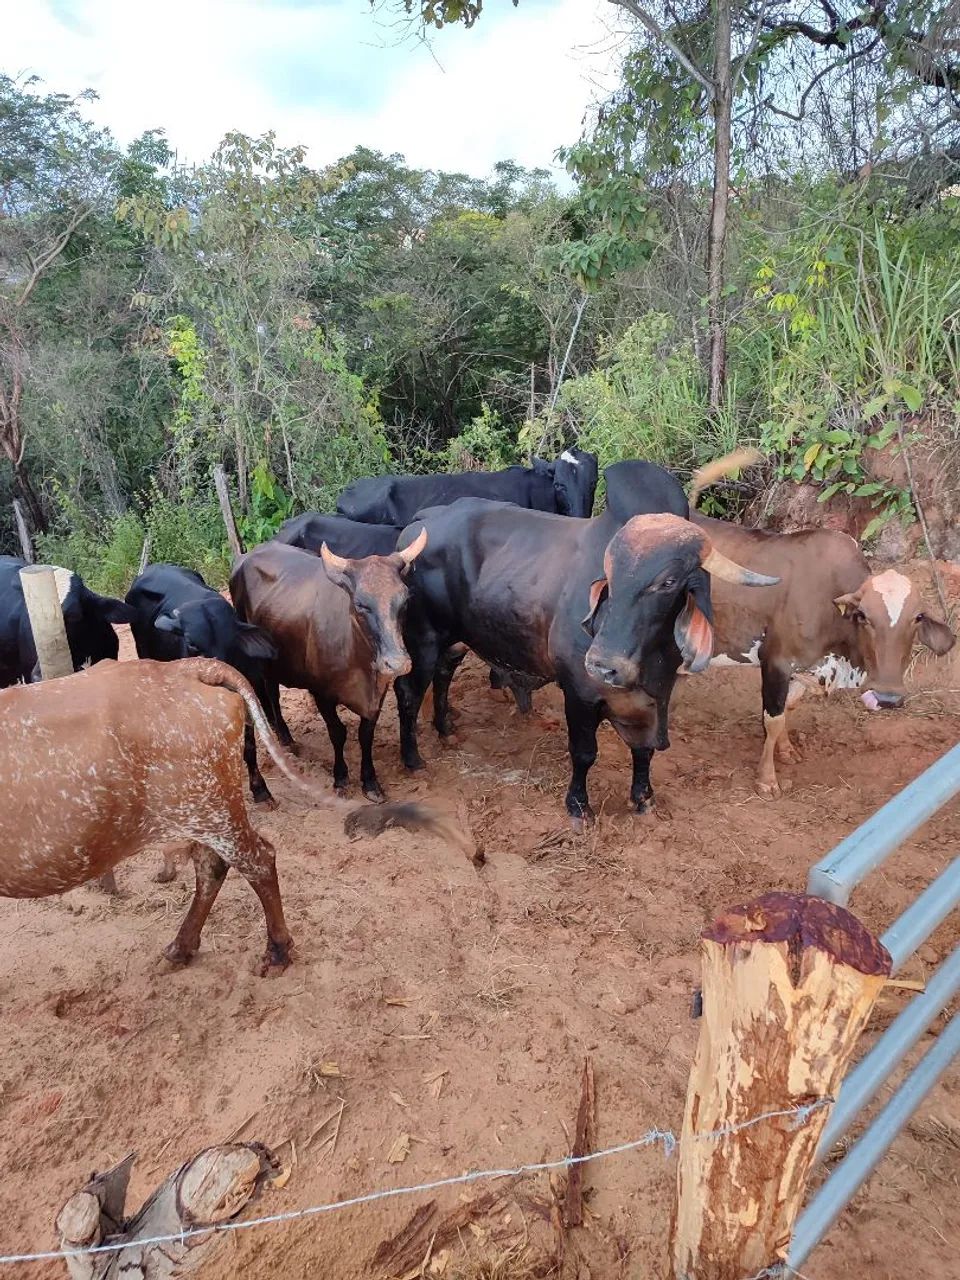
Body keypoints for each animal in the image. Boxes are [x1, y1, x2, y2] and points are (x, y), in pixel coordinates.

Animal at [0, 657, 469, 974]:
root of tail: (184, 668)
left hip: (210, 808)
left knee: (257, 859)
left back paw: (276, 952)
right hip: (203, 807)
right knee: (213, 865)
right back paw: (182, 947)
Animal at [230, 531, 428, 801]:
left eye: (405, 601)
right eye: (360, 604)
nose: (397, 663)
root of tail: (246, 556)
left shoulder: (377, 694)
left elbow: (366, 735)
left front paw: (370, 782)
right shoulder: (321, 694)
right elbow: (338, 732)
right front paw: (341, 778)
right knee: (269, 693)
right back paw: (285, 738)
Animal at [392, 499, 776, 824]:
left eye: (668, 582)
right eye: (610, 577)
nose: (603, 665)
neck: (648, 668)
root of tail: (425, 517)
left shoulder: (656, 700)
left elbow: (645, 750)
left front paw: (643, 798)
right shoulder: (579, 694)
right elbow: (584, 752)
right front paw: (578, 806)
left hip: (453, 642)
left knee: (443, 676)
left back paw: (446, 730)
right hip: (423, 641)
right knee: (409, 694)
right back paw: (413, 760)